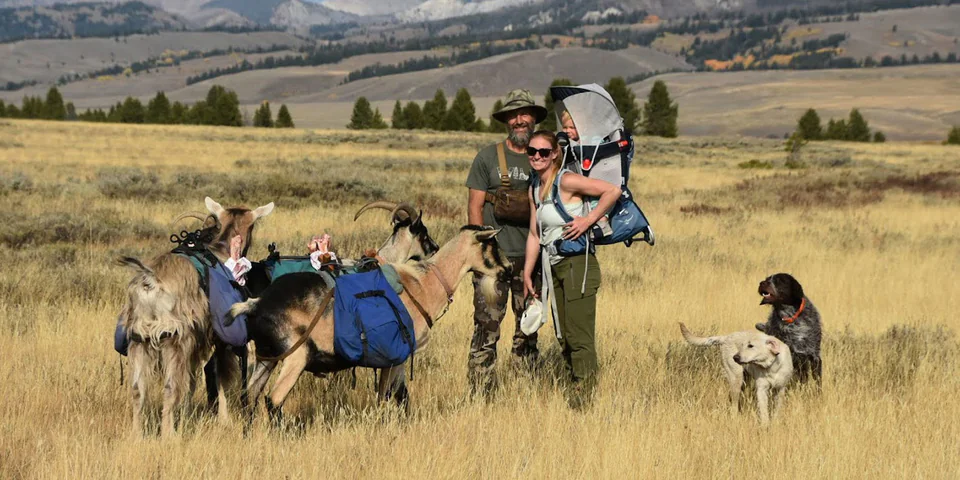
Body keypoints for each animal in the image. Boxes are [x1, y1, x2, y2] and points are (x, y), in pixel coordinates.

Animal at [118, 197, 274, 436]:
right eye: (253, 225)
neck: (222, 250)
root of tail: (150, 281)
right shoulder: (220, 339)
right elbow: (220, 375)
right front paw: (224, 420)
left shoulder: (196, 342)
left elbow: (192, 381)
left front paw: (187, 415)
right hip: (174, 338)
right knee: (170, 388)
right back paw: (169, 435)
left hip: (139, 339)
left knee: (138, 389)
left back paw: (137, 436)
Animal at [232, 226, 510, 428]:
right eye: (492, 245)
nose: (508, 269)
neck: (423, 285)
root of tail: (257, 303)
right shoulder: (397, 355)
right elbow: (390, 395)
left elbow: (397, 395)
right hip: (296, 356)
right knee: (273, 399)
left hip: (266, 358)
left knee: (249, 396)